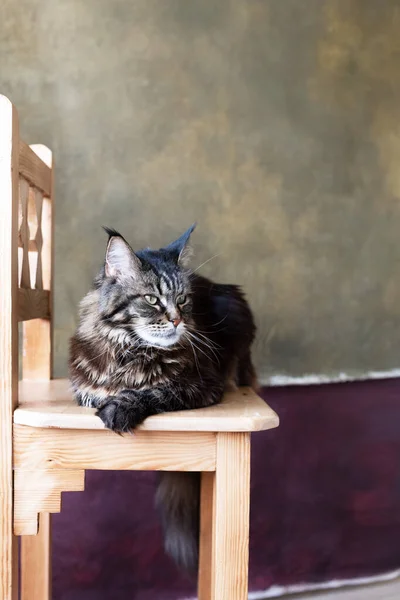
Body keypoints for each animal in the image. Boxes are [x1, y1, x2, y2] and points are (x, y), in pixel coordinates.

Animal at [68, 226, 256, 572]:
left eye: (182, 299)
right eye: (151, 299)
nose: (177, 320)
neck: (133, 351)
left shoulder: (203, 384)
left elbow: (156, 391)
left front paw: (122, 407)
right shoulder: (84, 390)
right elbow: (102, 395)